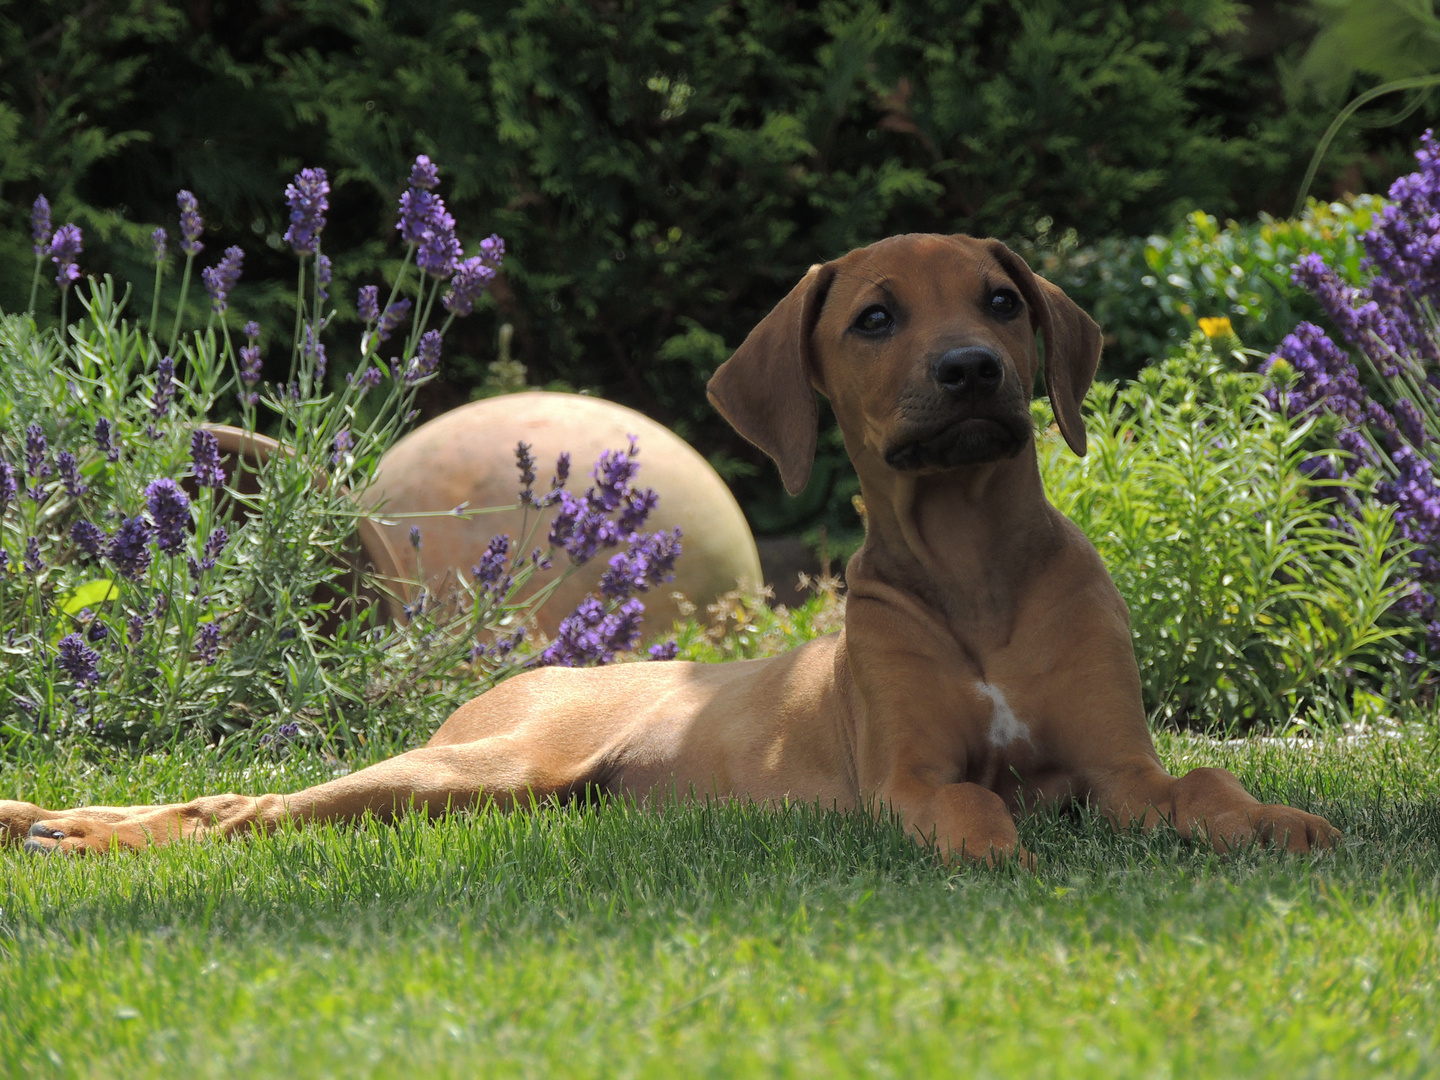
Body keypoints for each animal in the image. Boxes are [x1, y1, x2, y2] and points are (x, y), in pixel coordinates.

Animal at [5, 234, 1342, 864]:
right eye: (875, 318)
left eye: (1002, 302)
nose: (973, 371)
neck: (973, 567)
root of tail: (533, 675)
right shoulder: (907, 777)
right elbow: (968, 801)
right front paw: (994, 845)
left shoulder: (1124, 771)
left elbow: (1201, 784)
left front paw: (1276, 821)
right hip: (474, 771)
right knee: (247, 810)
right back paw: (83, 834)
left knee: (248, 806)